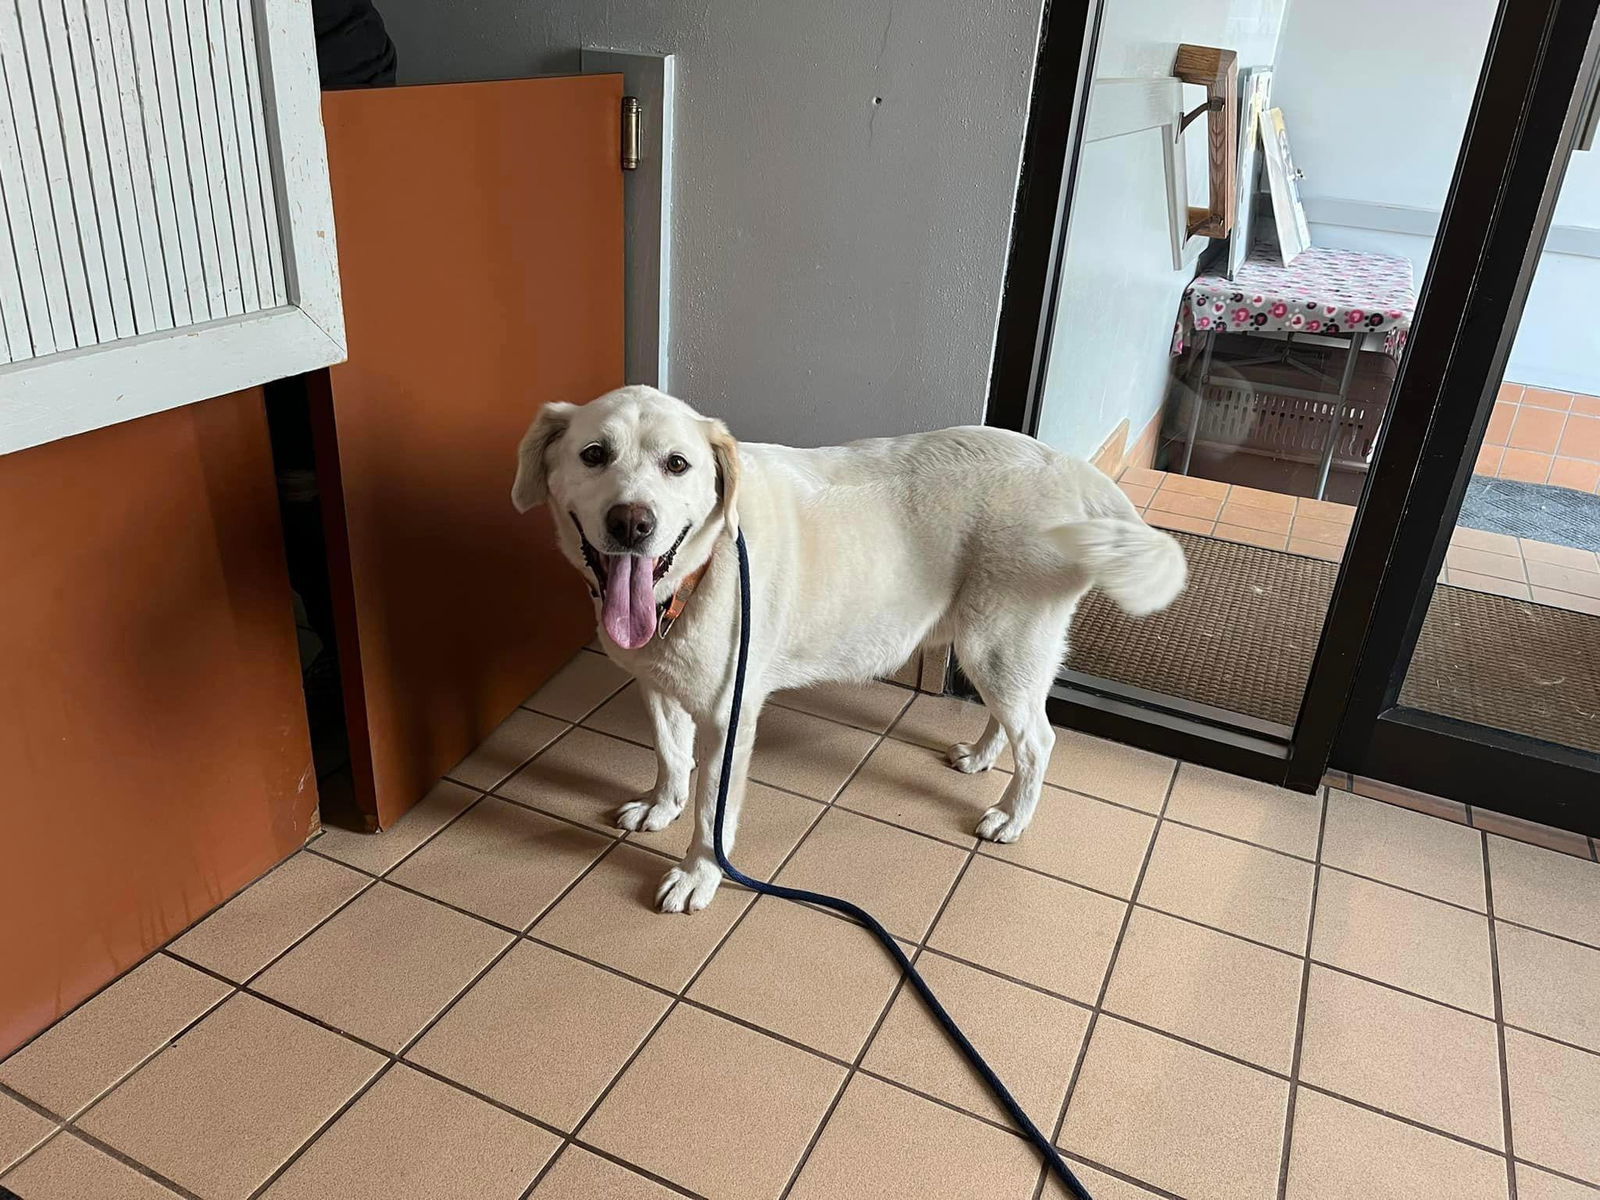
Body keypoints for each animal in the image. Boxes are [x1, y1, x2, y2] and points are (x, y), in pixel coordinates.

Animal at [515, 390, 1190, 915]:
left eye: (677, 464)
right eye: (594, 454)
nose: (633, 523)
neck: (692, 580)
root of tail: (1066, 465)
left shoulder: (729, 718)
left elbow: (712, 812)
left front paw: (698, 874)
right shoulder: (654, 684)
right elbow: (669, 755)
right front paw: (662, 805)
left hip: (999, 642)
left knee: (1040, 741)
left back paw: (1012, 817)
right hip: (993, 650)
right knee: (1015, 721)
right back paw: (980, 756)